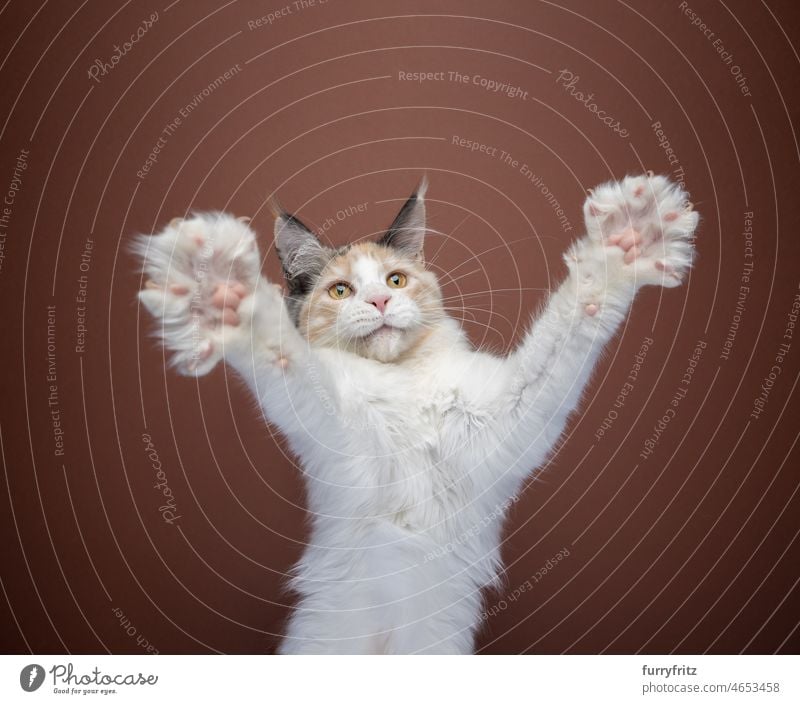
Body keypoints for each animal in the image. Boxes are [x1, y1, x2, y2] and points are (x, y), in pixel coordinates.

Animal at [134, 175, 696, 656]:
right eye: (341, 291)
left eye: (396, 280)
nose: (381, 301)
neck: (403, 385)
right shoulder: (341, 430)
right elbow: (285, 356)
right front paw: (222, 293)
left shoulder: (505, 420)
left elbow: (576, 315)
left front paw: (629, 239)